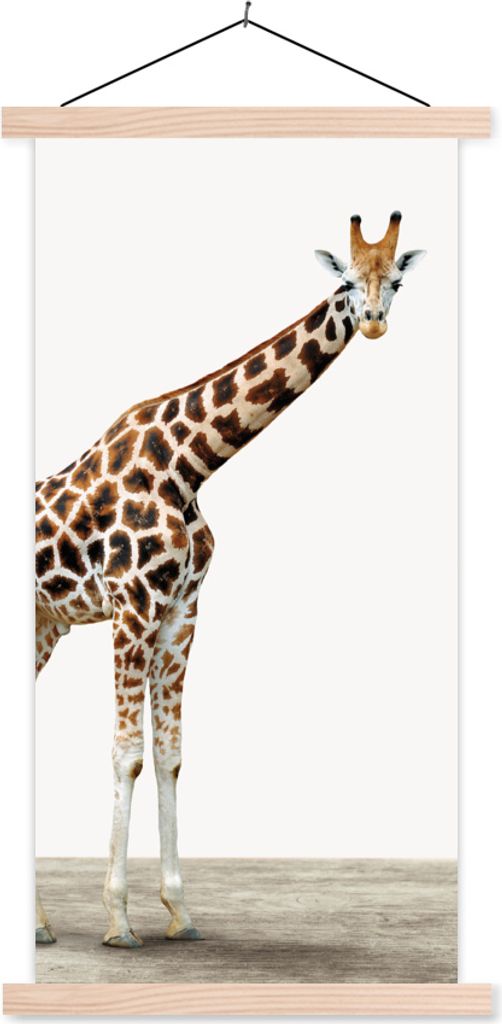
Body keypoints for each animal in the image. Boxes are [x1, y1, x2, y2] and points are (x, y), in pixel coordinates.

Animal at [35, 212, 425, 948]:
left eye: (395, 281)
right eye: (344, 280)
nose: (373, 323)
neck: (186, 464)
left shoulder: (181, 611)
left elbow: (169, 754)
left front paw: (179, 912)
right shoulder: (133, 607)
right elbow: (127, 754)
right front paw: (118, 920)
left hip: (44, 623)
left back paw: (39, 924)